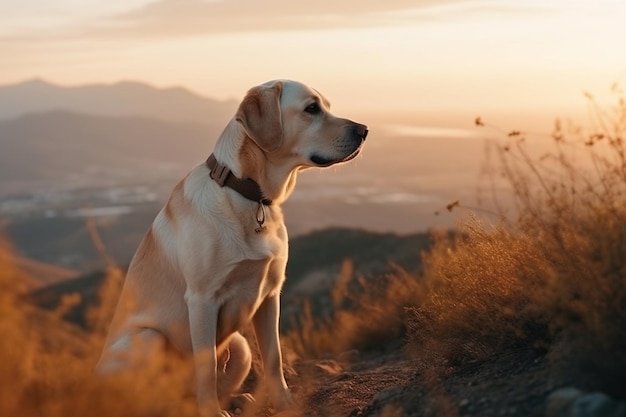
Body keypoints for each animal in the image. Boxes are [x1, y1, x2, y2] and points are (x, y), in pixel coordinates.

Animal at [97, 79, 366, 414]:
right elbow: (207, 366)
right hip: (147, 338)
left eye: (326, 106)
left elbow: (274, 357)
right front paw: (211, 412)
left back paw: (236, 399)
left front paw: (284, 402)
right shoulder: (202, 300)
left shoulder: (270, 295)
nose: (364, 130)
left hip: (239, 345)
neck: (248, 195)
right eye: (311, 108)